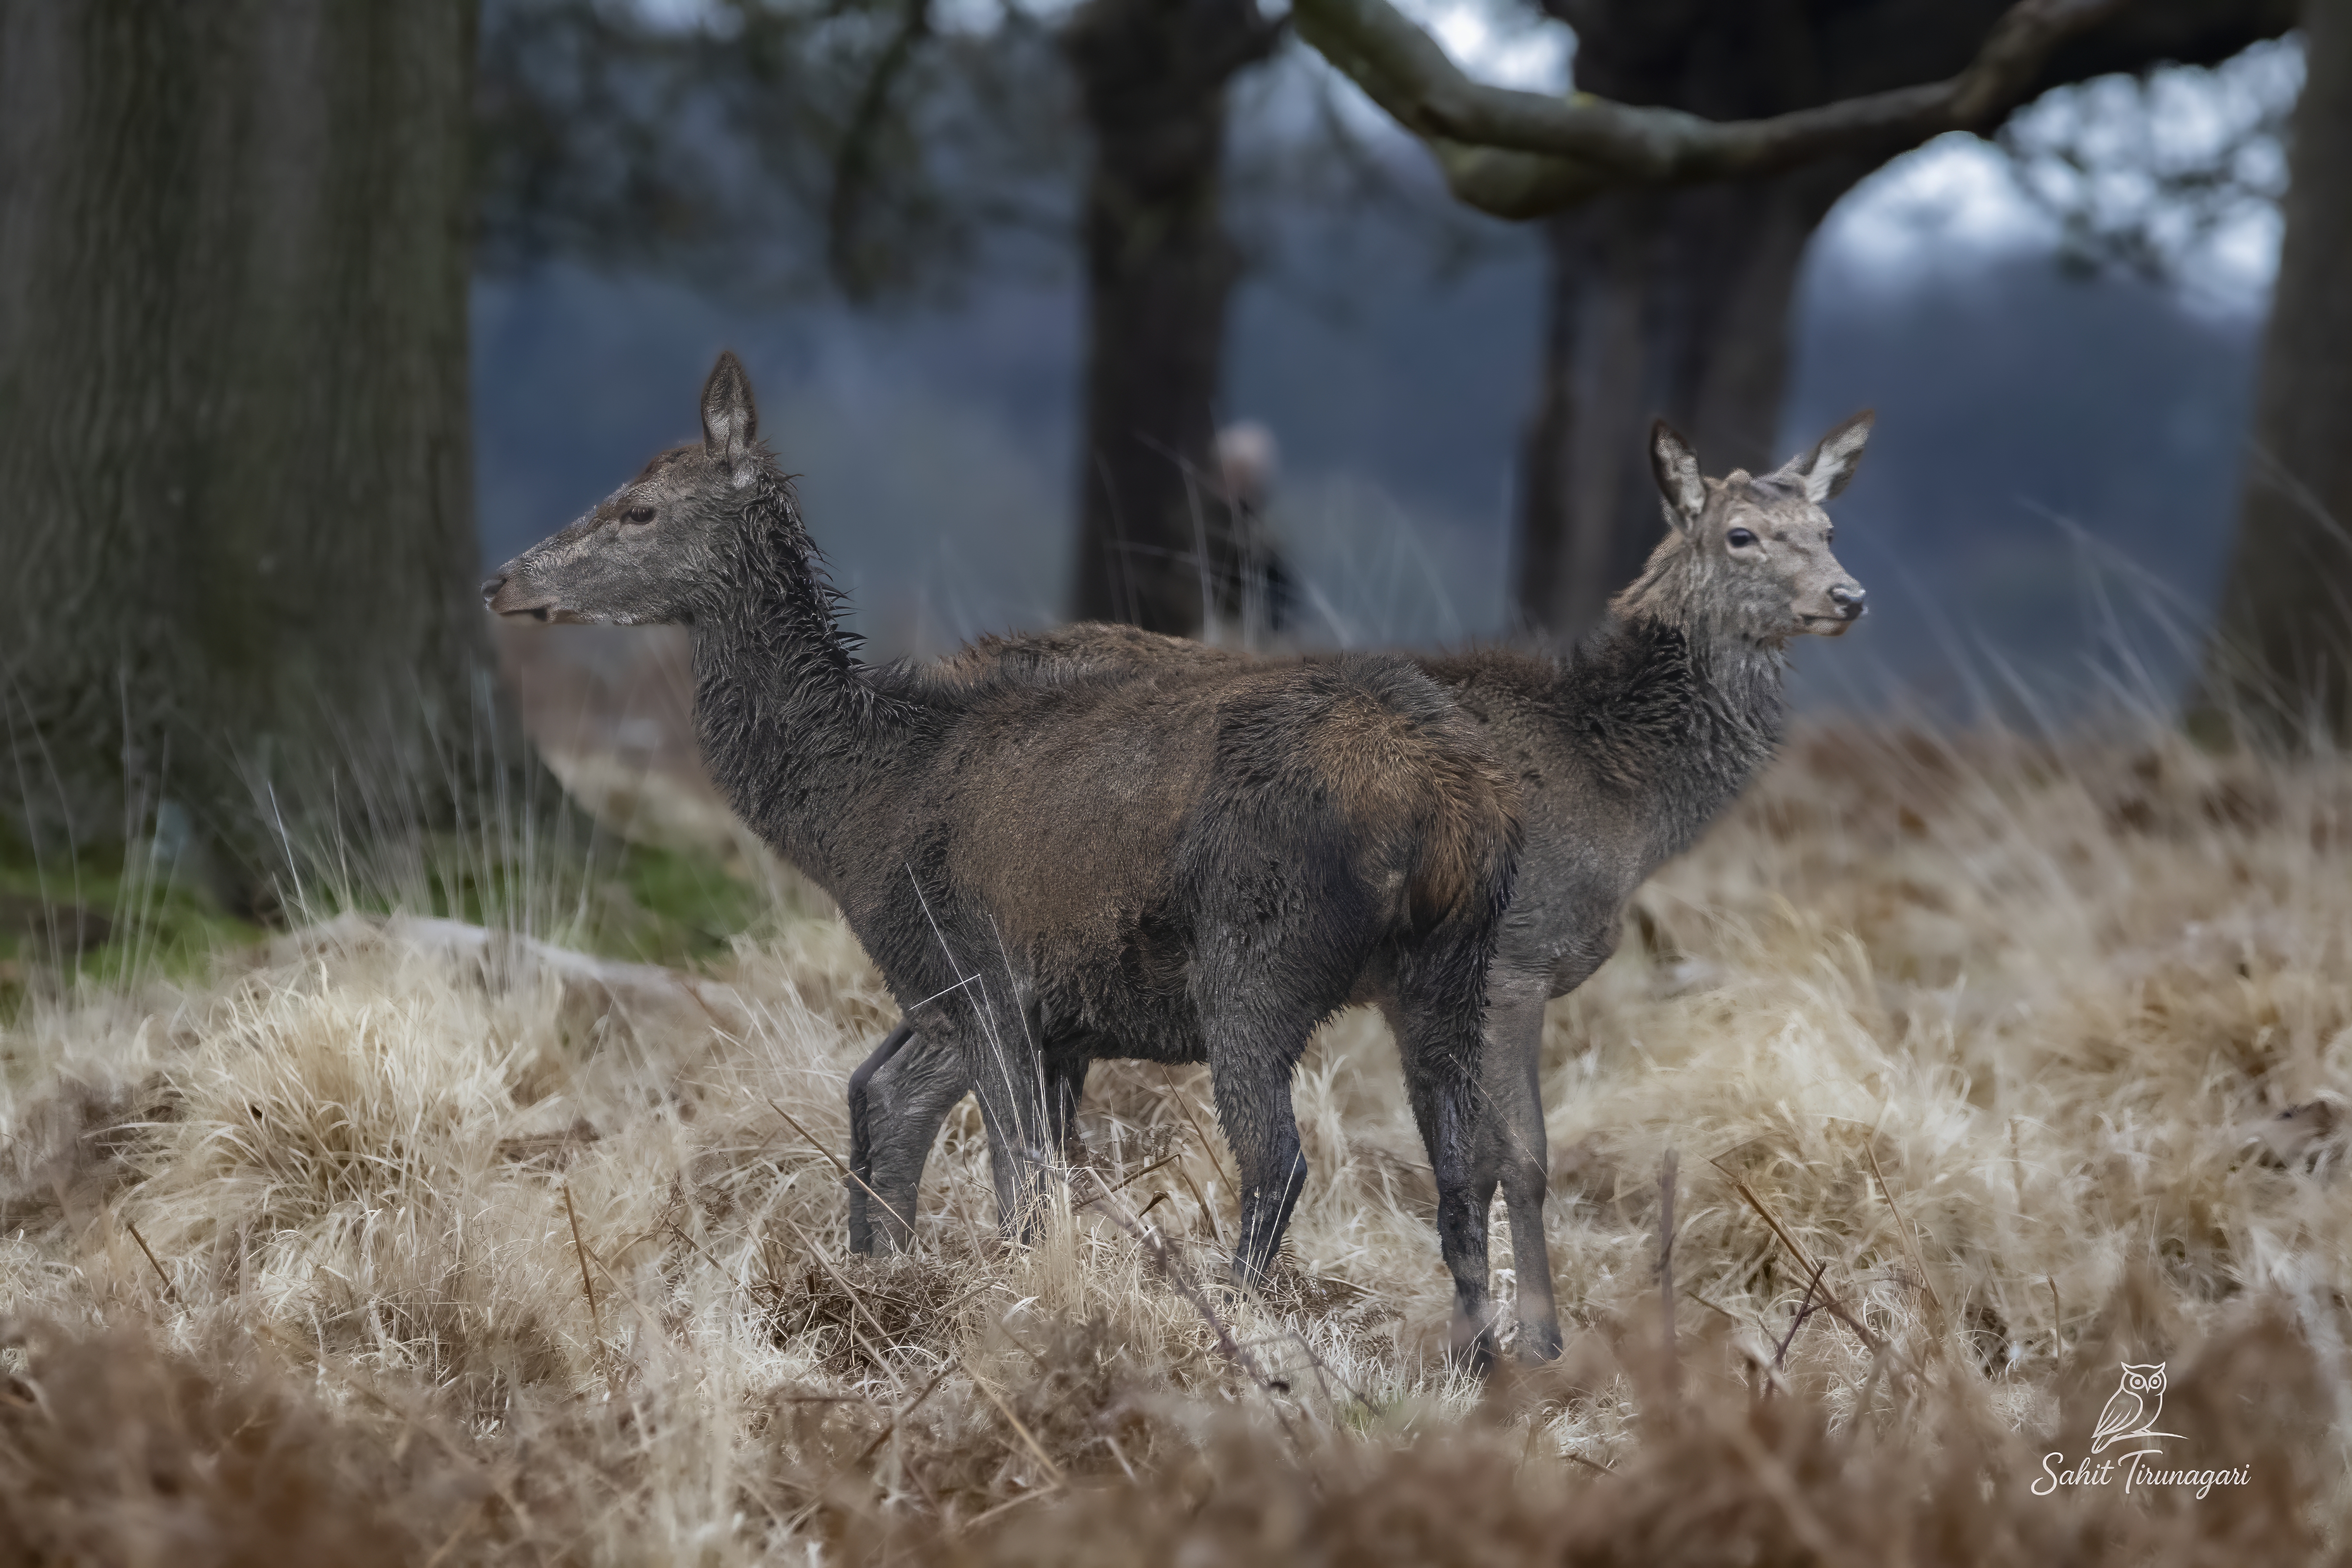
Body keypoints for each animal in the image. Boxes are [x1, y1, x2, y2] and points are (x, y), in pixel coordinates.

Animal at [484, 351, 1526, 1358]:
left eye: (639, 509)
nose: (500, 580)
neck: (858, 804)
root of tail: (1451, 809)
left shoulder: (976, 971)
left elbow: (1015, 1177)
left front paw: (1006, 1309)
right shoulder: (1042, 1015)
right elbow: (1016, 1164)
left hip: (1254, 960)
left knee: (1277, 1159)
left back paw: (1232, 1320)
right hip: (1452, 966)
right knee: (1470, 1160)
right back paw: (1479, 1352)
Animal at [846, 410, 1875, 1363]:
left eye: (1827, 525)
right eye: (1741, 534)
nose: (1848, 595)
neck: (1619, 795)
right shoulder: (1515, 960)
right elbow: (1522, 1157)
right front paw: (1543, 1343)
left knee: (895, 1079)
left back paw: (890, 1270)